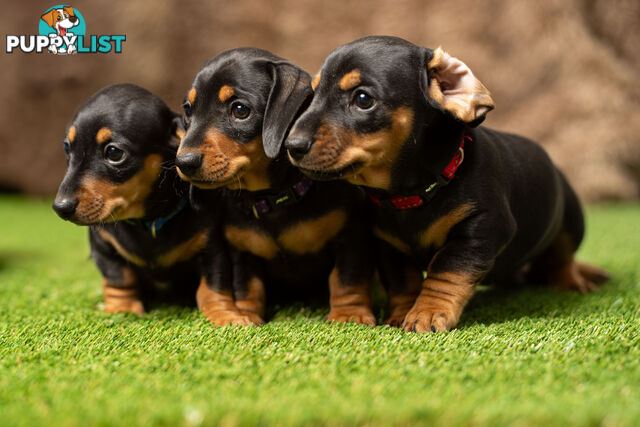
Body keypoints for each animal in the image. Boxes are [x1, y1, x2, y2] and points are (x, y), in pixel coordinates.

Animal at [53, 83, 230, 320]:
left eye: (114, 152)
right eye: (67, 148)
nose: (60, 207)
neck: (149, 222)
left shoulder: (212, 247)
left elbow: (214, 285)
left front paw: (224, 315)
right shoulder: (104, 245)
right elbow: (119, 278)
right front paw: (122, 309)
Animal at [175, 47, 378, 328]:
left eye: (240, 110)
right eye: (188, 110)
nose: (183, 162)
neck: (273, 200)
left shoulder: (351, 236)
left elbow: (347, 279)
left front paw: (349, 315)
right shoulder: (242, 250)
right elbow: (248, 286)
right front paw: (246, 315)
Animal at [286, 35, 608, 332]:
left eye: (363, 99)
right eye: (312, 95)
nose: (292, 145)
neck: (412, 197)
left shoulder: (481, 228)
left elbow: (446, 271)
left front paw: (427, 313)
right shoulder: (389, 246)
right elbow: (403, 282)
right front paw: (402, 313)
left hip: (569, 220)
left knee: (563, 256)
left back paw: (574, 280)